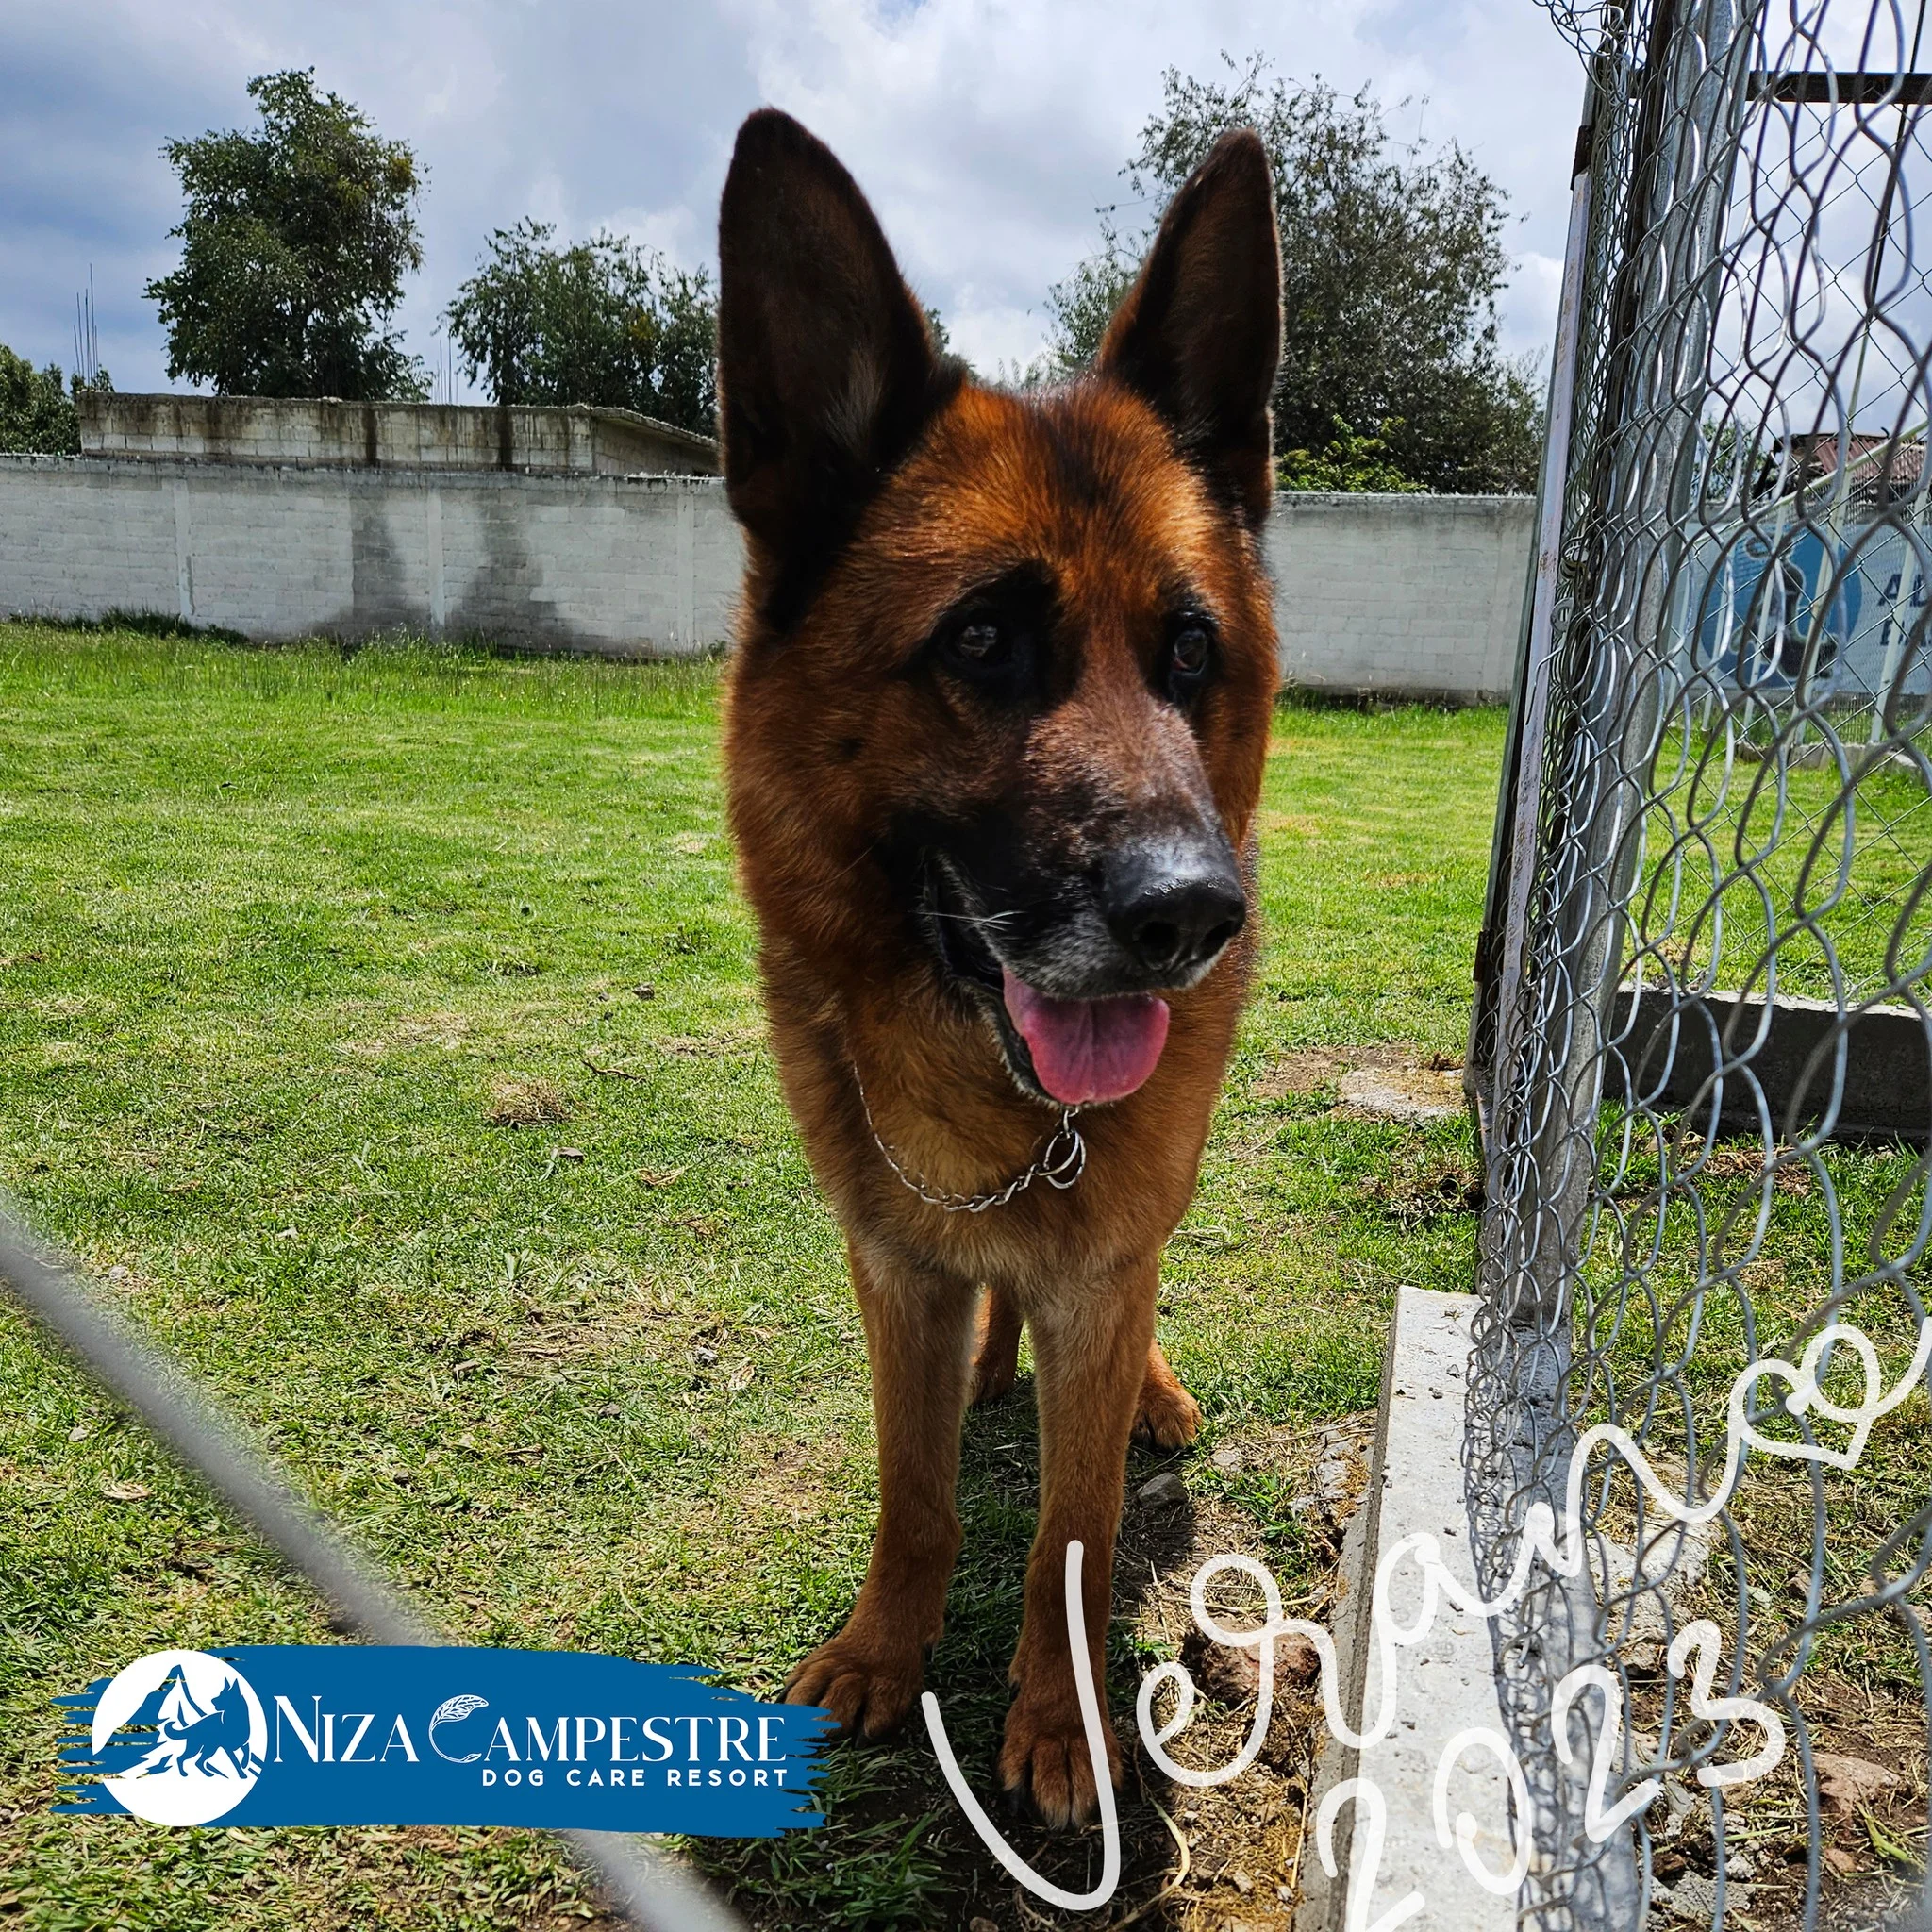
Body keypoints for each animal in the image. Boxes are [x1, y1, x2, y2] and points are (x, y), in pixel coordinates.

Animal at [718, 106, 1274, 1824]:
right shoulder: (894, 1265)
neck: (998, 1114)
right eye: (977, 642)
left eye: (1188, 651)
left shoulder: (1100, 1268)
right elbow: (915, 1495)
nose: (1192, 915)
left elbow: (1068, 1536)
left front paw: (1058, 1719)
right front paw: (879, 1654)